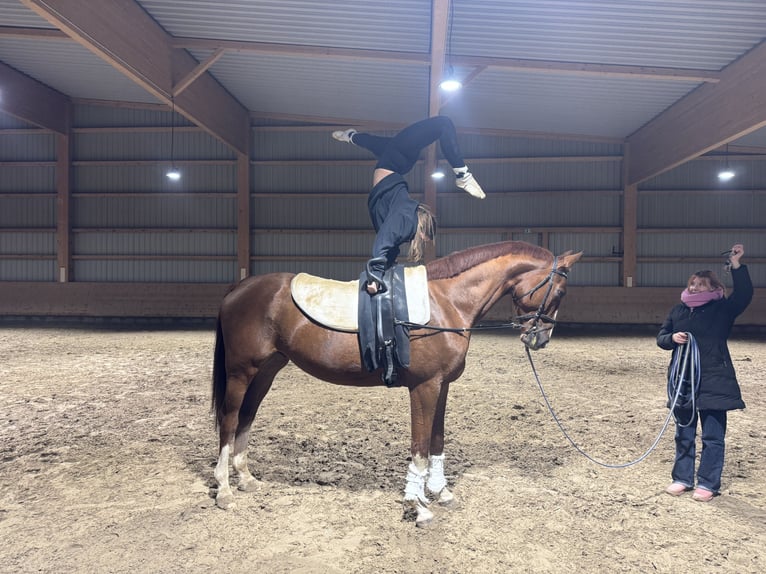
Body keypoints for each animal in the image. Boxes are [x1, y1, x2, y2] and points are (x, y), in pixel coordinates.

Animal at [211, 240, 582, 526]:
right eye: (560, 291)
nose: (540, 339)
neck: (446, 302)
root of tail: (240, 287)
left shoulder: (442, 386)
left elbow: (437, 441)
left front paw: (441, 492)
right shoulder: (424, 387)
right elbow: (419, 449)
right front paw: (417, 506)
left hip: (267, 370)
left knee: (247, 417)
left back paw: (245, 479)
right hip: (241, 372)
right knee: (229, 421)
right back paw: (225, 490)